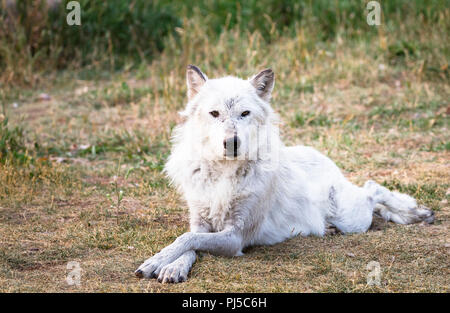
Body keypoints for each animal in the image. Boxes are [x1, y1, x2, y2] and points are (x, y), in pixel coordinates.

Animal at [134, 65, 436, 282]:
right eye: (215, 113)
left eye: (244, 113)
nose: (231, 142)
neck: (223, 174)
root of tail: (325, 158)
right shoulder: (200, 221)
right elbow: (188, 242)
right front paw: (171, 267)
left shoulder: (235, 237)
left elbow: (187, 240)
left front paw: (155, 262)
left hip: (353, 218)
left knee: (373, 187)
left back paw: (417, 213)